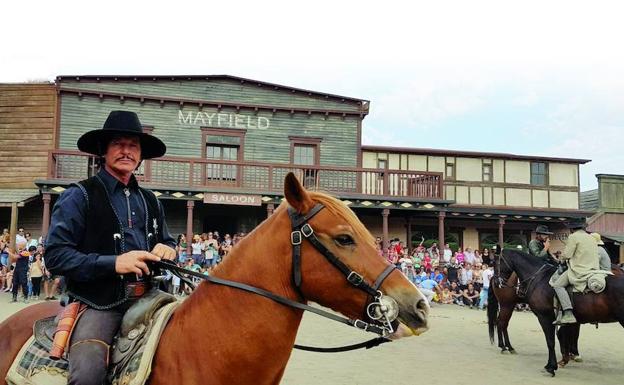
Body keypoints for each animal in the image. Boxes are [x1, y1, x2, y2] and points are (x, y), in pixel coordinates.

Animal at [494, 248, 620, 376]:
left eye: (496, 263)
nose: (497, 281)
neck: (538, 278)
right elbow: (560, 337)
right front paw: (563, 360)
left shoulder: (547, 317)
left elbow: (553, 340)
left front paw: (554, 364)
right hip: (507, 305)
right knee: (501, 323)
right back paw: (505, 347)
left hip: (507, 305)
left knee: (502, 323)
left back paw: (506, 347)